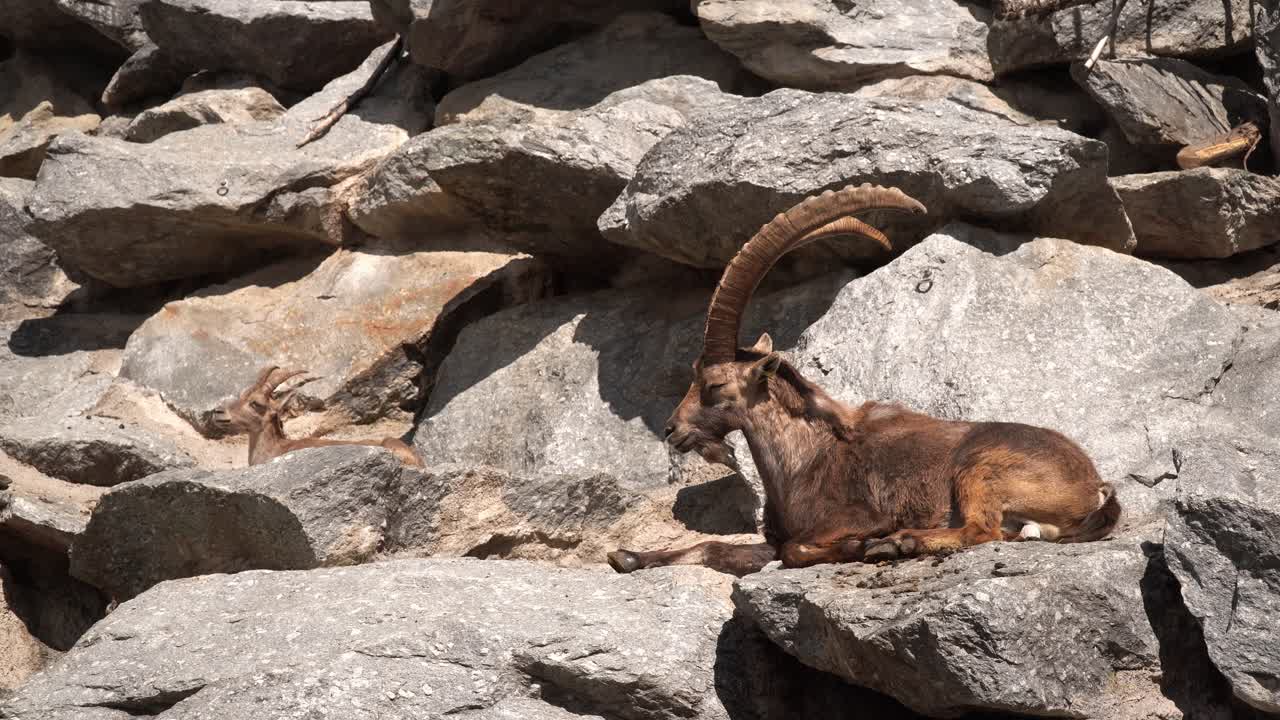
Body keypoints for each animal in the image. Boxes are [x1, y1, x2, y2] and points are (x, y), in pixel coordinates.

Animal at [607, 184, 1120, 576]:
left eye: (714, 385)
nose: (672, 429)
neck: (802, 460)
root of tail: (1093, 484)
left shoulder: (851, 518)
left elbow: (796, 549)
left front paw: (862, 544)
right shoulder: (771, 537)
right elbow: (712, 546)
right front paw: (628, 556)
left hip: (979, 470)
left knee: (983, 530)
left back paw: (899, 543)